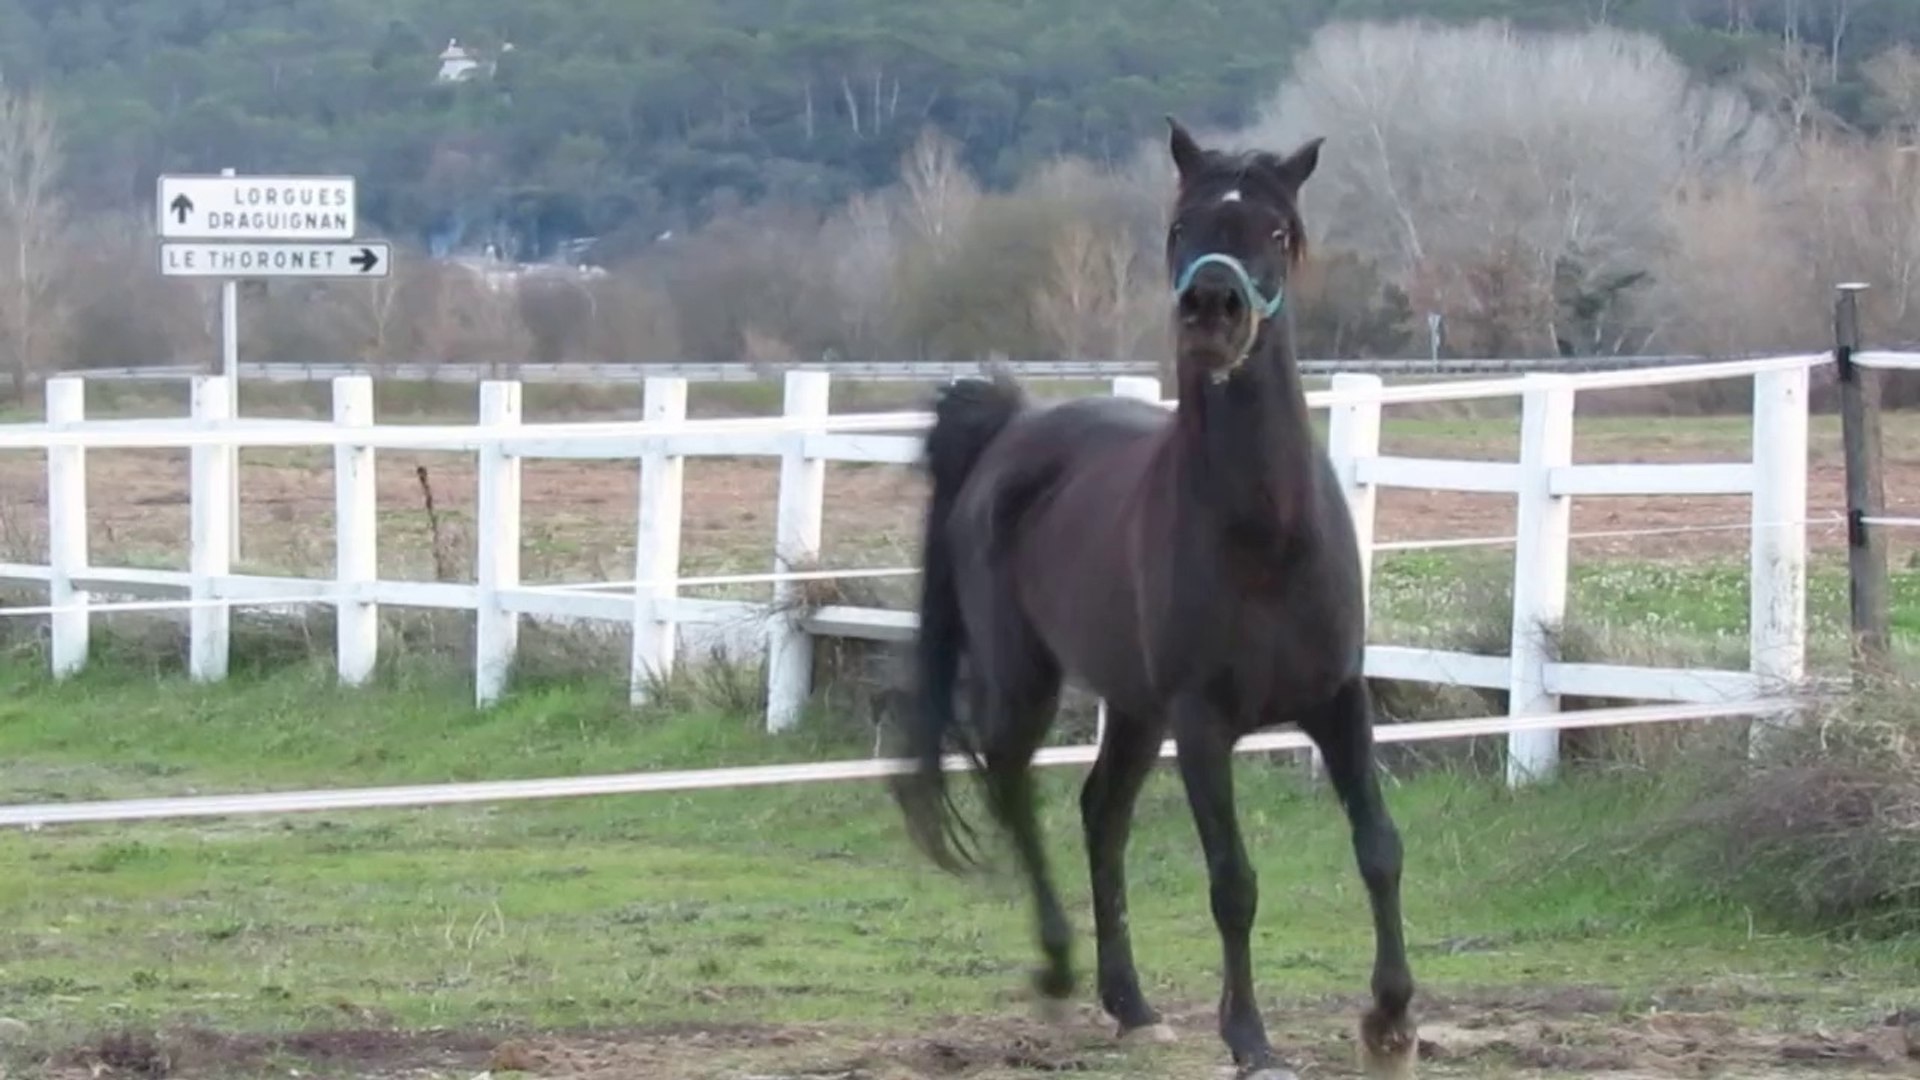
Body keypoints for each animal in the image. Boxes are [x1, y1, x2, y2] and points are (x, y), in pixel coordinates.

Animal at [890, 122, 1420, 1068]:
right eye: (1181, 228)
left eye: (1278, 231)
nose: (1213, 308)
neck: (1265, 536)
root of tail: (1012, 431)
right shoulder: (1203, 724)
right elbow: (1233, 882)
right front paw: (1249, 1039)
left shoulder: (1338, 700)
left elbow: (1379, 847)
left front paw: (1391, 1018)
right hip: (1027, 680)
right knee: (1014, 789)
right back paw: (1060, 969)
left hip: (1134, 709)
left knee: (1101, 812)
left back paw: (1130, 1001)